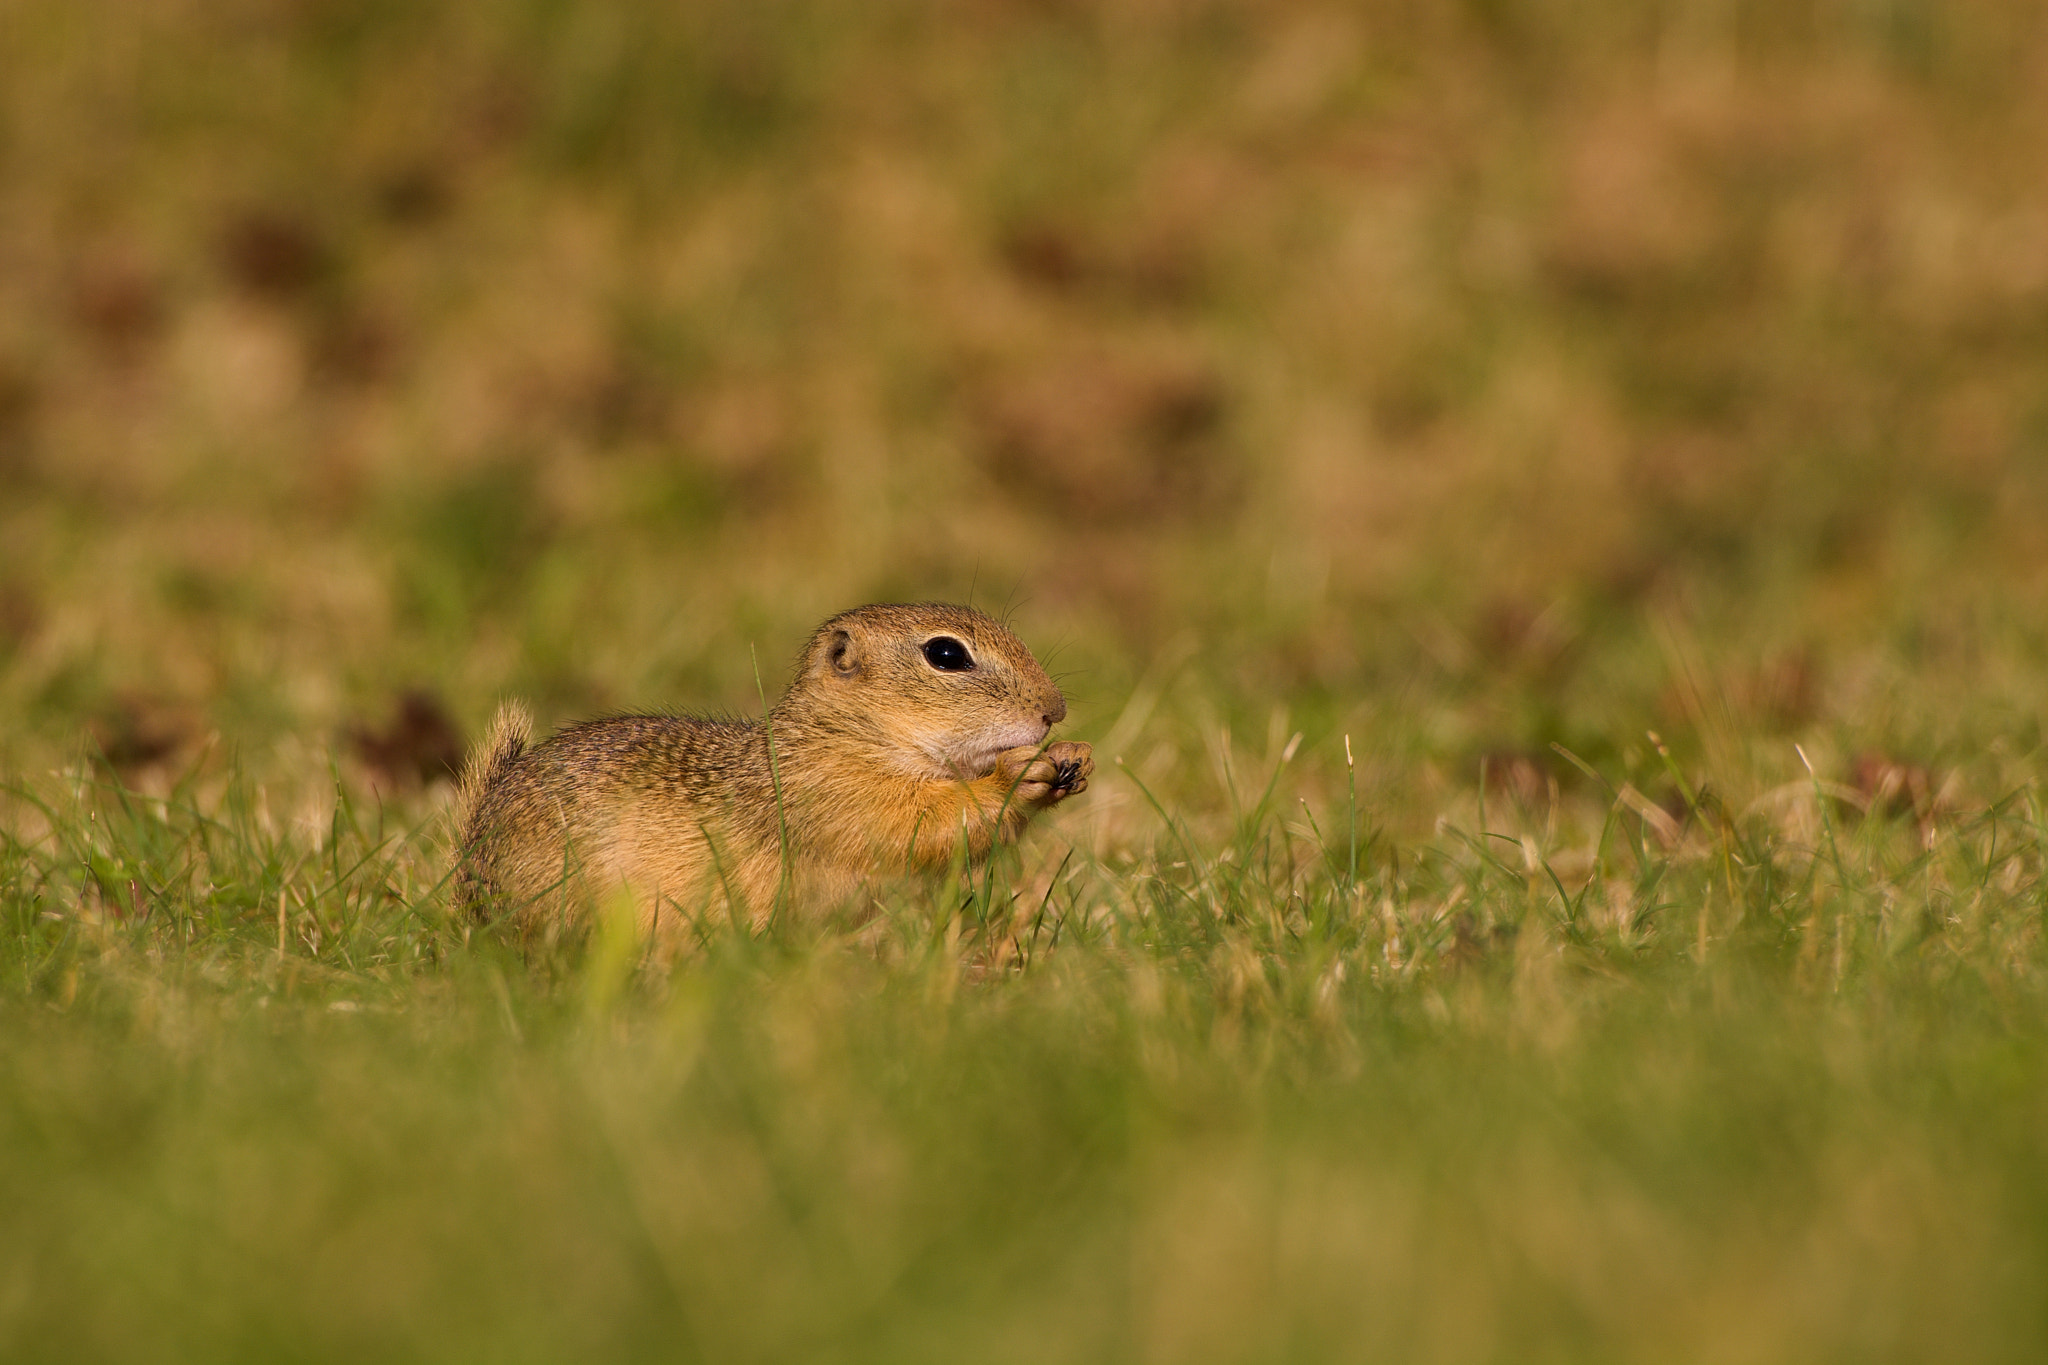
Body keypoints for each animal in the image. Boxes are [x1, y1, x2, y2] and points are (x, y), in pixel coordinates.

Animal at [448, 605, 1089, 941]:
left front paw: (1074, 757)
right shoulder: (841, 797)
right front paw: (1018, 777)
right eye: (947, 655)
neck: (843, 735)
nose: (1054, 709)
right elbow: (927, 826)